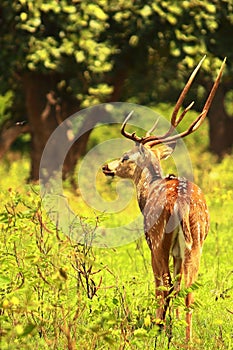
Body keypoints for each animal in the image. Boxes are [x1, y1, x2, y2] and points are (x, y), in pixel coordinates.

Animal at [102, 58, 226, 342]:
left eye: (125, 157)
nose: (106, 166)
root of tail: (181, 203)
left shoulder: (151, 242)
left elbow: (161, 283)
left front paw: (160, 326)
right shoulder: (181, 250)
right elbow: (181, 286)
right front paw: (174, 325)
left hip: (159, 237)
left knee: (166, 282)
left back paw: (158, 328)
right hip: (196, 241)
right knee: (189, 286)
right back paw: (188, 338)